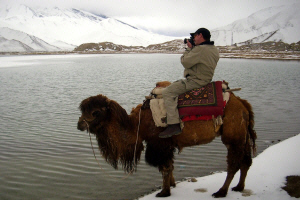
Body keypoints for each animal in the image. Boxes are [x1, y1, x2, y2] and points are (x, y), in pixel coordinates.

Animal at [77, 82, 255, 198]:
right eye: (83, 110)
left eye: (96, 112)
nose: (80, 124)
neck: (136, 125)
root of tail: (243, 104)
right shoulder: (167, 146)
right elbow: (170, 167)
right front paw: (172, 185)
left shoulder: (159, 144)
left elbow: (164, 168)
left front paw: (164, 192)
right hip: (243, 136)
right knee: (246, 160)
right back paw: (239, 187)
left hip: (233, 137)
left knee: (233, 164)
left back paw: (221, 192)